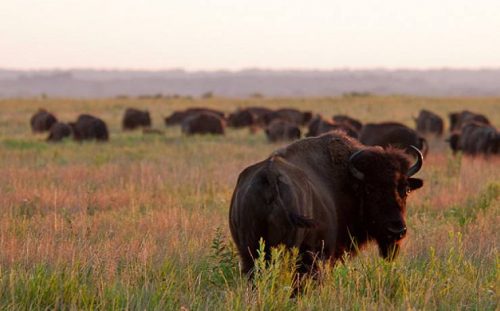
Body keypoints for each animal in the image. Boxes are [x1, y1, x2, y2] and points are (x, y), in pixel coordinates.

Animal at [229, 132, 424, 276]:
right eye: (369, 189)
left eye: (406, 189)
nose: (397, 230)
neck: (348, 182)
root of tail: (270, 176)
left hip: (248, 253)